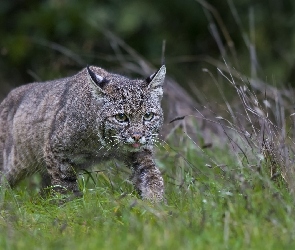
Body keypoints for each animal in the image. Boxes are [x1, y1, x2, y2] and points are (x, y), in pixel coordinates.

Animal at [0, 65, 166, 201]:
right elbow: (65, 185)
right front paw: (69, 208)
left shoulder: (140, 152)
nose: (137, 136)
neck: (103, 143)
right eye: (121, 117)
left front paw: (156, 206)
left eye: (148, 116)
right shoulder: (55, 150)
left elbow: (152, 176)